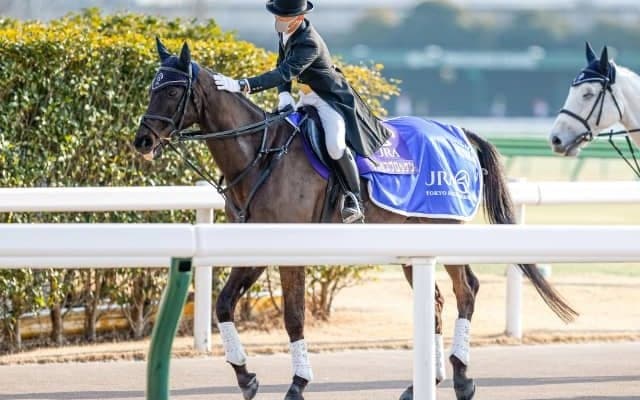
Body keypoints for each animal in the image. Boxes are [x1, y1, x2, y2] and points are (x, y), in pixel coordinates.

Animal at [133, 39, 577, 400]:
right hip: (413, 241)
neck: (260, 153)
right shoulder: (254, 248)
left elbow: (294, 316)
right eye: (152, 87)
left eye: (172, 89)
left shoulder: (291, 253)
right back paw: (423, 383)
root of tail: (458, 132)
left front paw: (297, 384)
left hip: (445, 230)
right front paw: (246, 377)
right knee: (434, 302)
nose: (143, 141)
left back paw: (462, 378)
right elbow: (223, 305)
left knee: (466, 290)